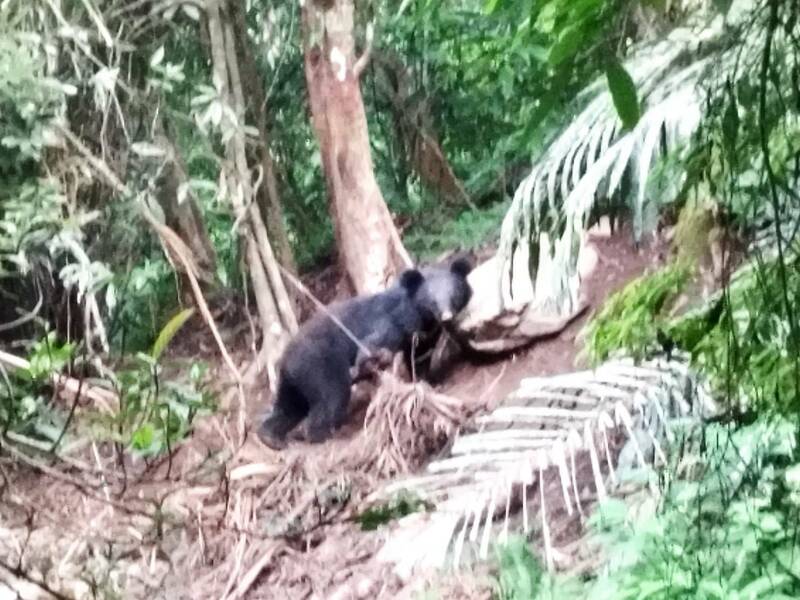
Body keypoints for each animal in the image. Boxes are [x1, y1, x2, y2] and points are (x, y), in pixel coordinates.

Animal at [256, 258, 472, 450]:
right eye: (432, 301)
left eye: (453, 295)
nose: (447, 317)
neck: (420, 318)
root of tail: (285, 360)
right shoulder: (390, 323)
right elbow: (374, 343)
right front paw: (375, 362)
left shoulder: (423, 336)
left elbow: (420, 357)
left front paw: (428, 381)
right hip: (318, 367)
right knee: (331, 399)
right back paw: (324, 435)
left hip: (295, 381)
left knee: (290, 407)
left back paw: (271, 437)